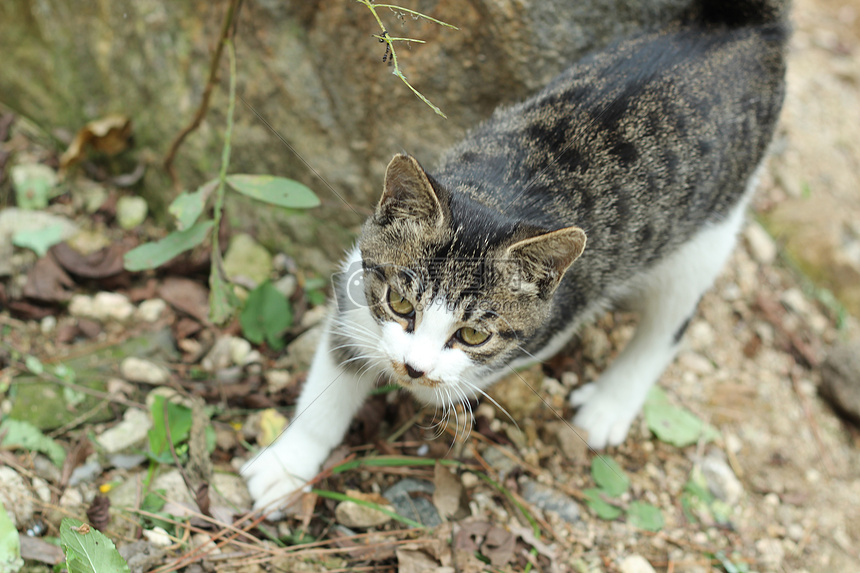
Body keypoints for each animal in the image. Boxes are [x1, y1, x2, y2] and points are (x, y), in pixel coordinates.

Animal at [240, 0, 788, 512]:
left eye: (473, 335)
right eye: (400, 304)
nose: (414, 369)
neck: (498, 197)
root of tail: (748, 24)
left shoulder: (554, 319)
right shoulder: (357, 287)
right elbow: (339, 365)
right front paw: (288, 464)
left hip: (713, 222)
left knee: (675, 317)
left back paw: (610, 404)